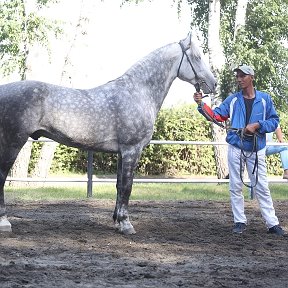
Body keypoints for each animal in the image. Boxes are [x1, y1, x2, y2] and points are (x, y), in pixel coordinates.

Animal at [0, 33, 216, 234]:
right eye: (197, 57)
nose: (213, 84)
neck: (138, 92)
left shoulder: (122, 153)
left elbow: (119, 186)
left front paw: (117, 221)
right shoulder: (132, 150)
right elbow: (127, 187)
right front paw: (126, 224)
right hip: (12, 143)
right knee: (2, 176)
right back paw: (5, 222)